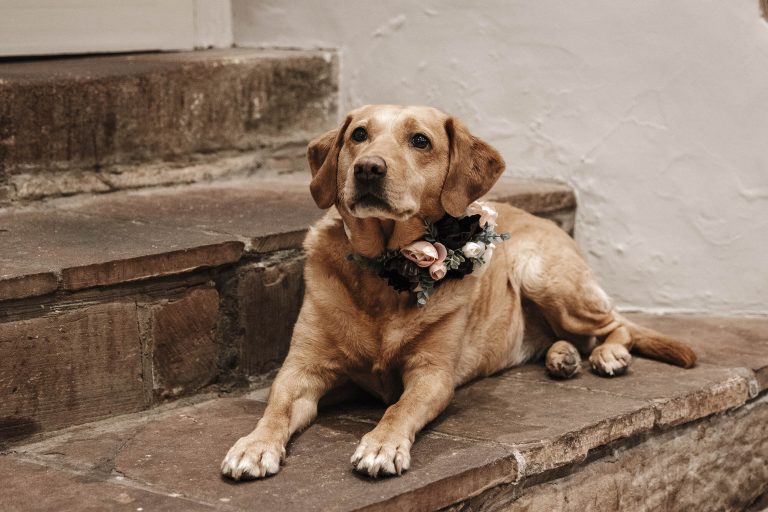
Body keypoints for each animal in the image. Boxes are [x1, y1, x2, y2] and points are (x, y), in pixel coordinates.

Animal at [220, 103, 696, 480]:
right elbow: (275, 409)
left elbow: (398, 409)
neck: (387, 272)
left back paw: (608, 354)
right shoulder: (302, 370)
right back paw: (563, 356)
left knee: (616, 324)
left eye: (420, 140)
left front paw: (382, 444)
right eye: (358, 135)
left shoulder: (432, 375)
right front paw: (254, 445)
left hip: (542, 276)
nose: (368, 168)